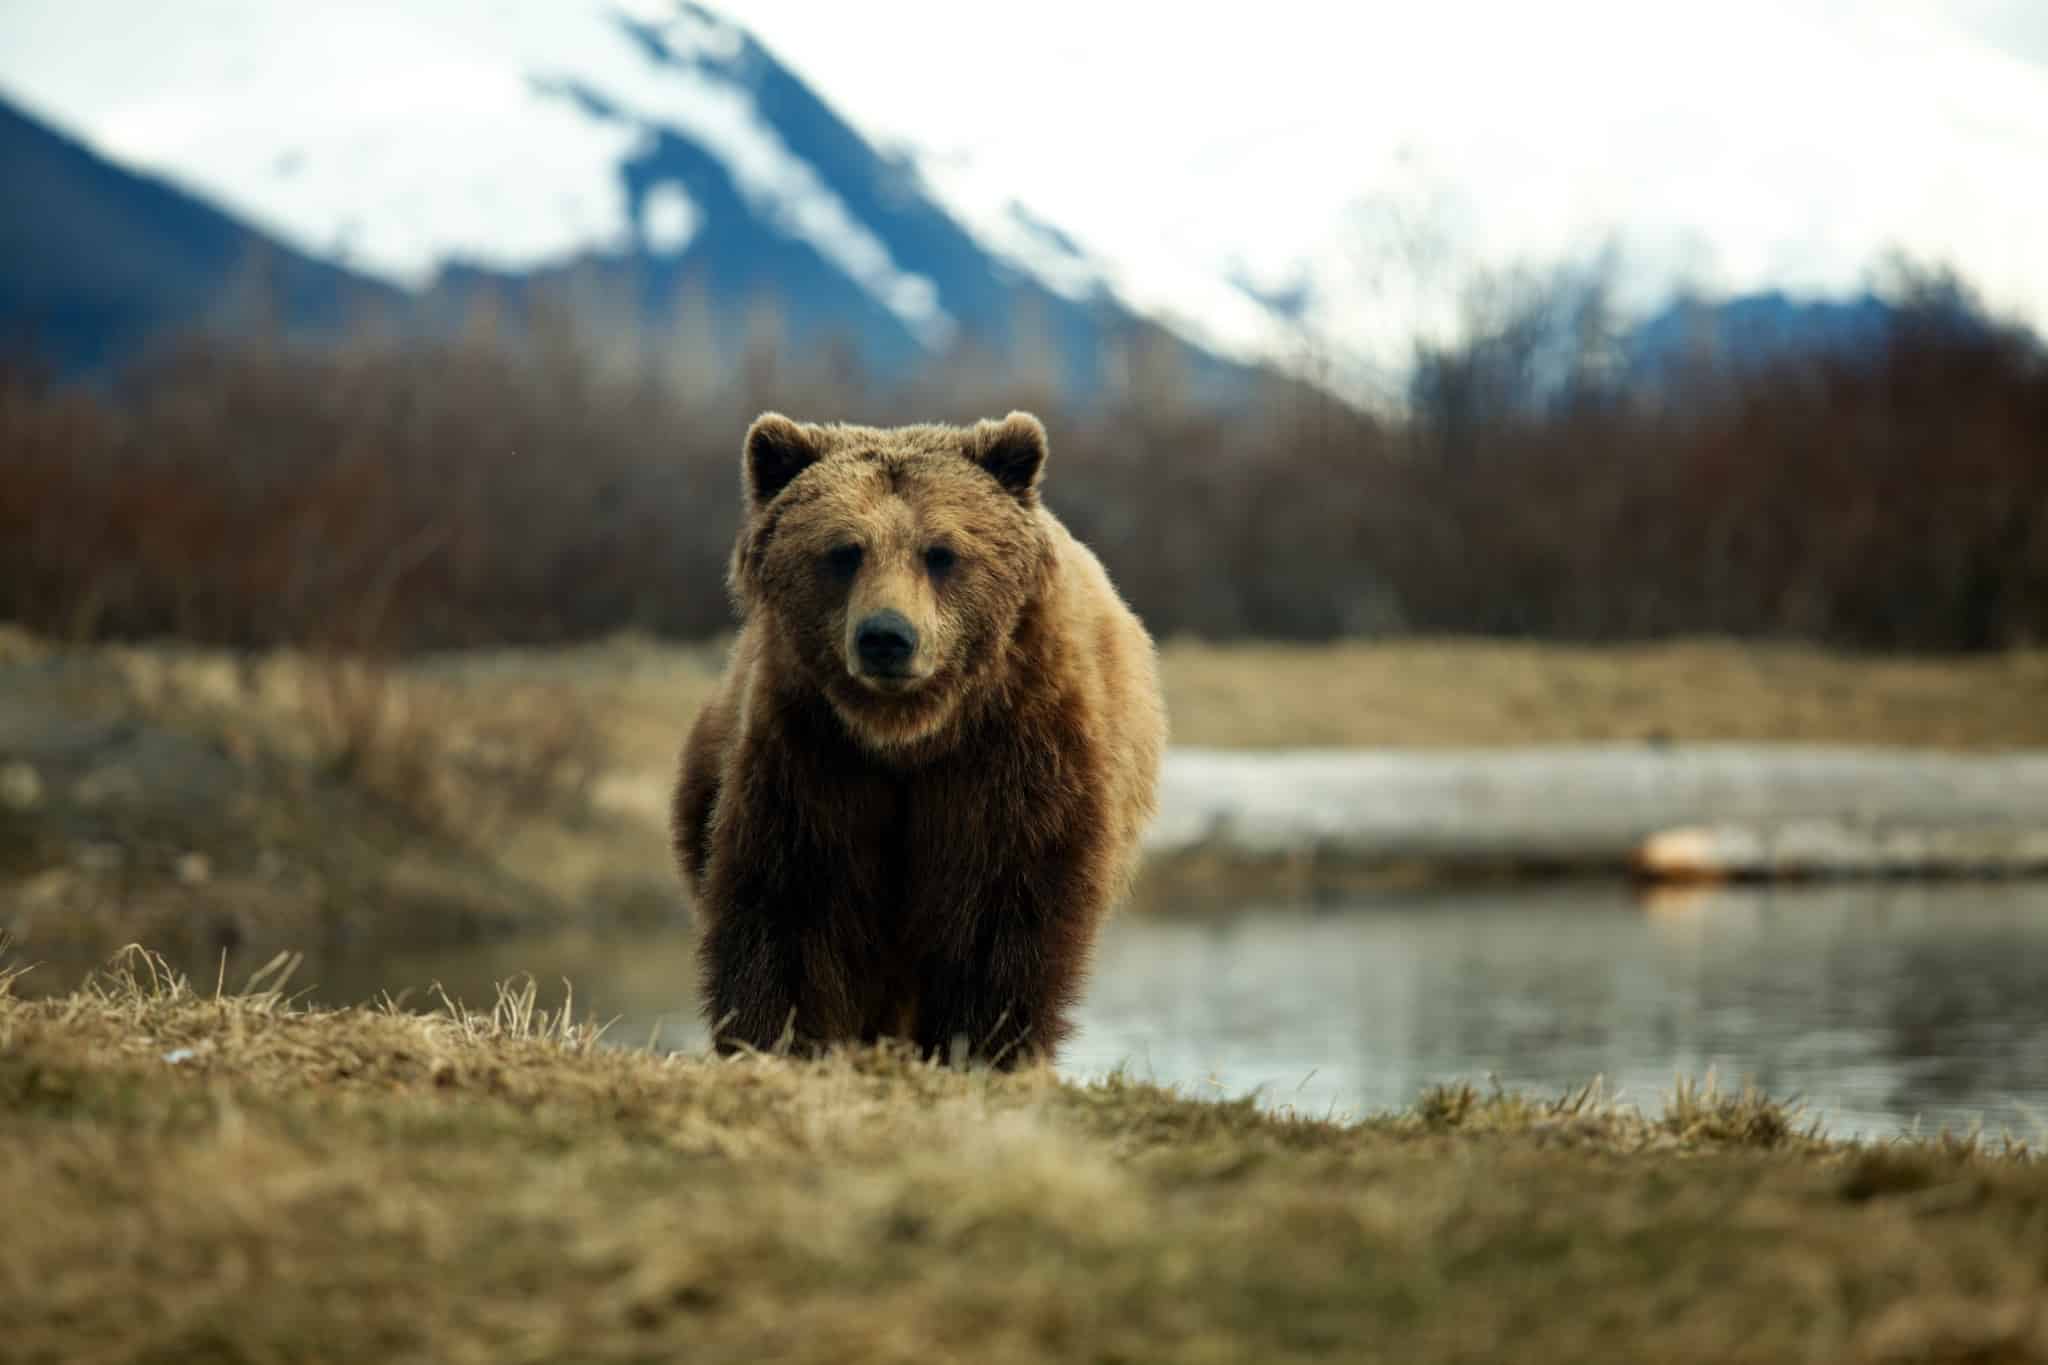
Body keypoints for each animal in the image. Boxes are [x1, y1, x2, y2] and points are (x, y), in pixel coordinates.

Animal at [672, 411, 1165, 1068]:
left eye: (941, 553)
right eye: (844, 551)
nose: (886, 636)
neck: (910, 733)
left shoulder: (1015, 755)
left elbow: (998, 907)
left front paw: (980, 1045)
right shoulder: (814, 753)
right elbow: (793, 897)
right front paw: (778, 1039)